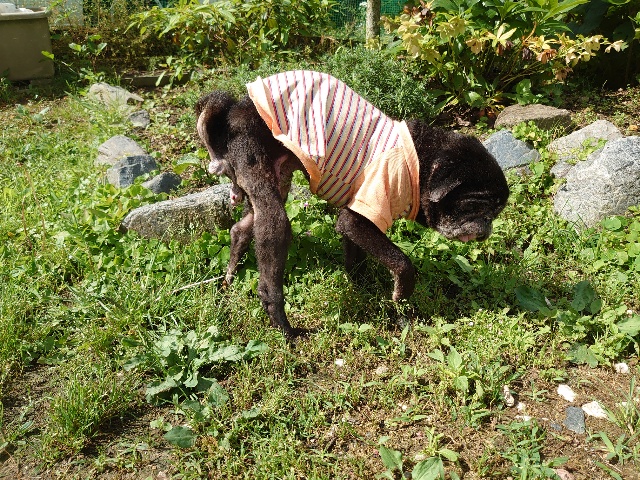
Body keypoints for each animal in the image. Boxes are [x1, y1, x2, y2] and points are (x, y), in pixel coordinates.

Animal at [196, 70, 509, 339]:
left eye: (495, 212)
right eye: (475, 206)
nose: (486, 229)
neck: (420, 165)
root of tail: (232, 112)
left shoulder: (355, 220)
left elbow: (355, 260)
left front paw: (364, 290)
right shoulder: (361, 215)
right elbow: (403, 262)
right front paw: (400, 296)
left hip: (275, 175)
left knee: (240, 228)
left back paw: (229, 278)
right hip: (266, 190)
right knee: (272, 248)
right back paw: (283, 326)